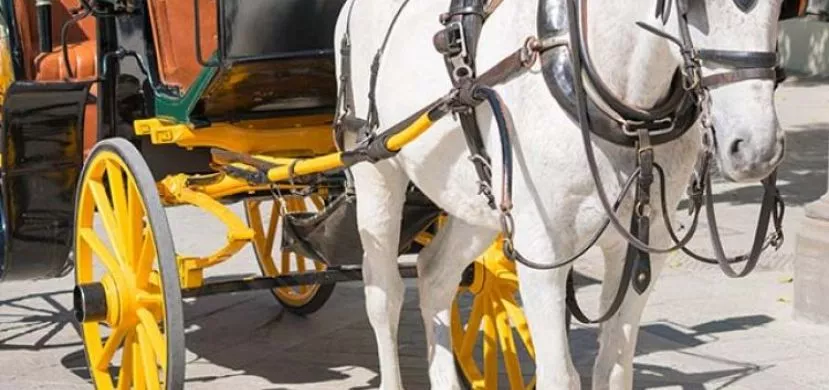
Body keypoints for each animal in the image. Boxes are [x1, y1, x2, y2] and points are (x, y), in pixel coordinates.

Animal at [334, 0, 784, 388]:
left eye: (781, 6)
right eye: (692, 6)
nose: (756, 148)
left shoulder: (644, 245)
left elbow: (613, 368)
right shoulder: (543, 249)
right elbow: (560, 376)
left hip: (477, 203)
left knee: (434, 275)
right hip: (376, 172)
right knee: (384, 294)